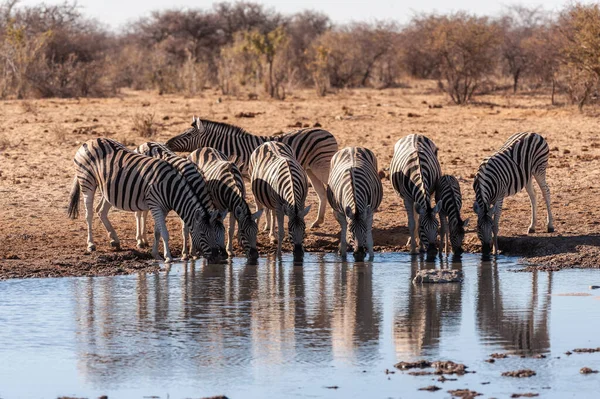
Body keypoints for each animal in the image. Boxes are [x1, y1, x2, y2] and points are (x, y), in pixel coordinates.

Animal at [68, 139, 221, 264]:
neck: (171, 188)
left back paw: (115, 240)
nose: (218, 257)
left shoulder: (162, 208)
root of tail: (90, 141)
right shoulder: (155, 204)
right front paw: (170, 257)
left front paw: (156, 254)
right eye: (203, 235)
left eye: (217, 234)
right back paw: (91, 244)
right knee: (89, 214)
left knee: (101, 210)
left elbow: (158, 231)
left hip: (110, 189)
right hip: (87, 182)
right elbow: (167, 232)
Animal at [164, 115, 340, 228]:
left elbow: (259, 203)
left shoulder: (253, 174)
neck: (233, 148)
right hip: (311, 169)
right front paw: (267, 226)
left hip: (322, 166)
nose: (166, 143)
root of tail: (328, 132)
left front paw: (263, 225)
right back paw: (317, 222)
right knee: (321, 193)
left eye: (188, 134)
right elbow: (263, 203)